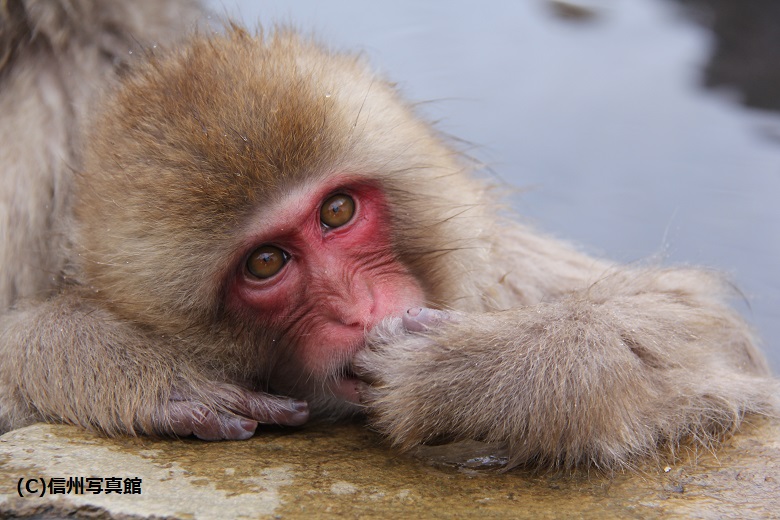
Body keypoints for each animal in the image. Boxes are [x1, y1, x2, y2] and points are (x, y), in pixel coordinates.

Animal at [0, 2, 772, 470]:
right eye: (266, 263)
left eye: (338, 212)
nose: (355, 308)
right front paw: (117, 361)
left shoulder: (503, 272)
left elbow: (707, 335)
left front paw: (479, 372)